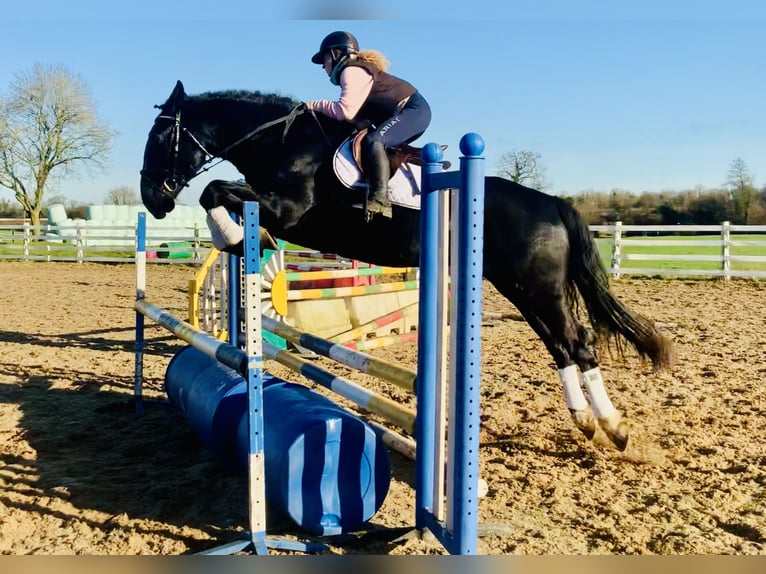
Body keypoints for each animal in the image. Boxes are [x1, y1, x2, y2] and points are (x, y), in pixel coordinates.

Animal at [141, 81, 676, 452]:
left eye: (161, 134)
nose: (152, 200)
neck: (283, 144)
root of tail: (552, 203)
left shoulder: (288, 210)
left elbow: (216, 192)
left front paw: (234, 237)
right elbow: (219, 196)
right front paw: (235, 239)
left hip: (536, 287)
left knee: (577, 342)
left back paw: (612, 427)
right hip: (521, 287)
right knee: (560, 344)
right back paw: (589, 423)